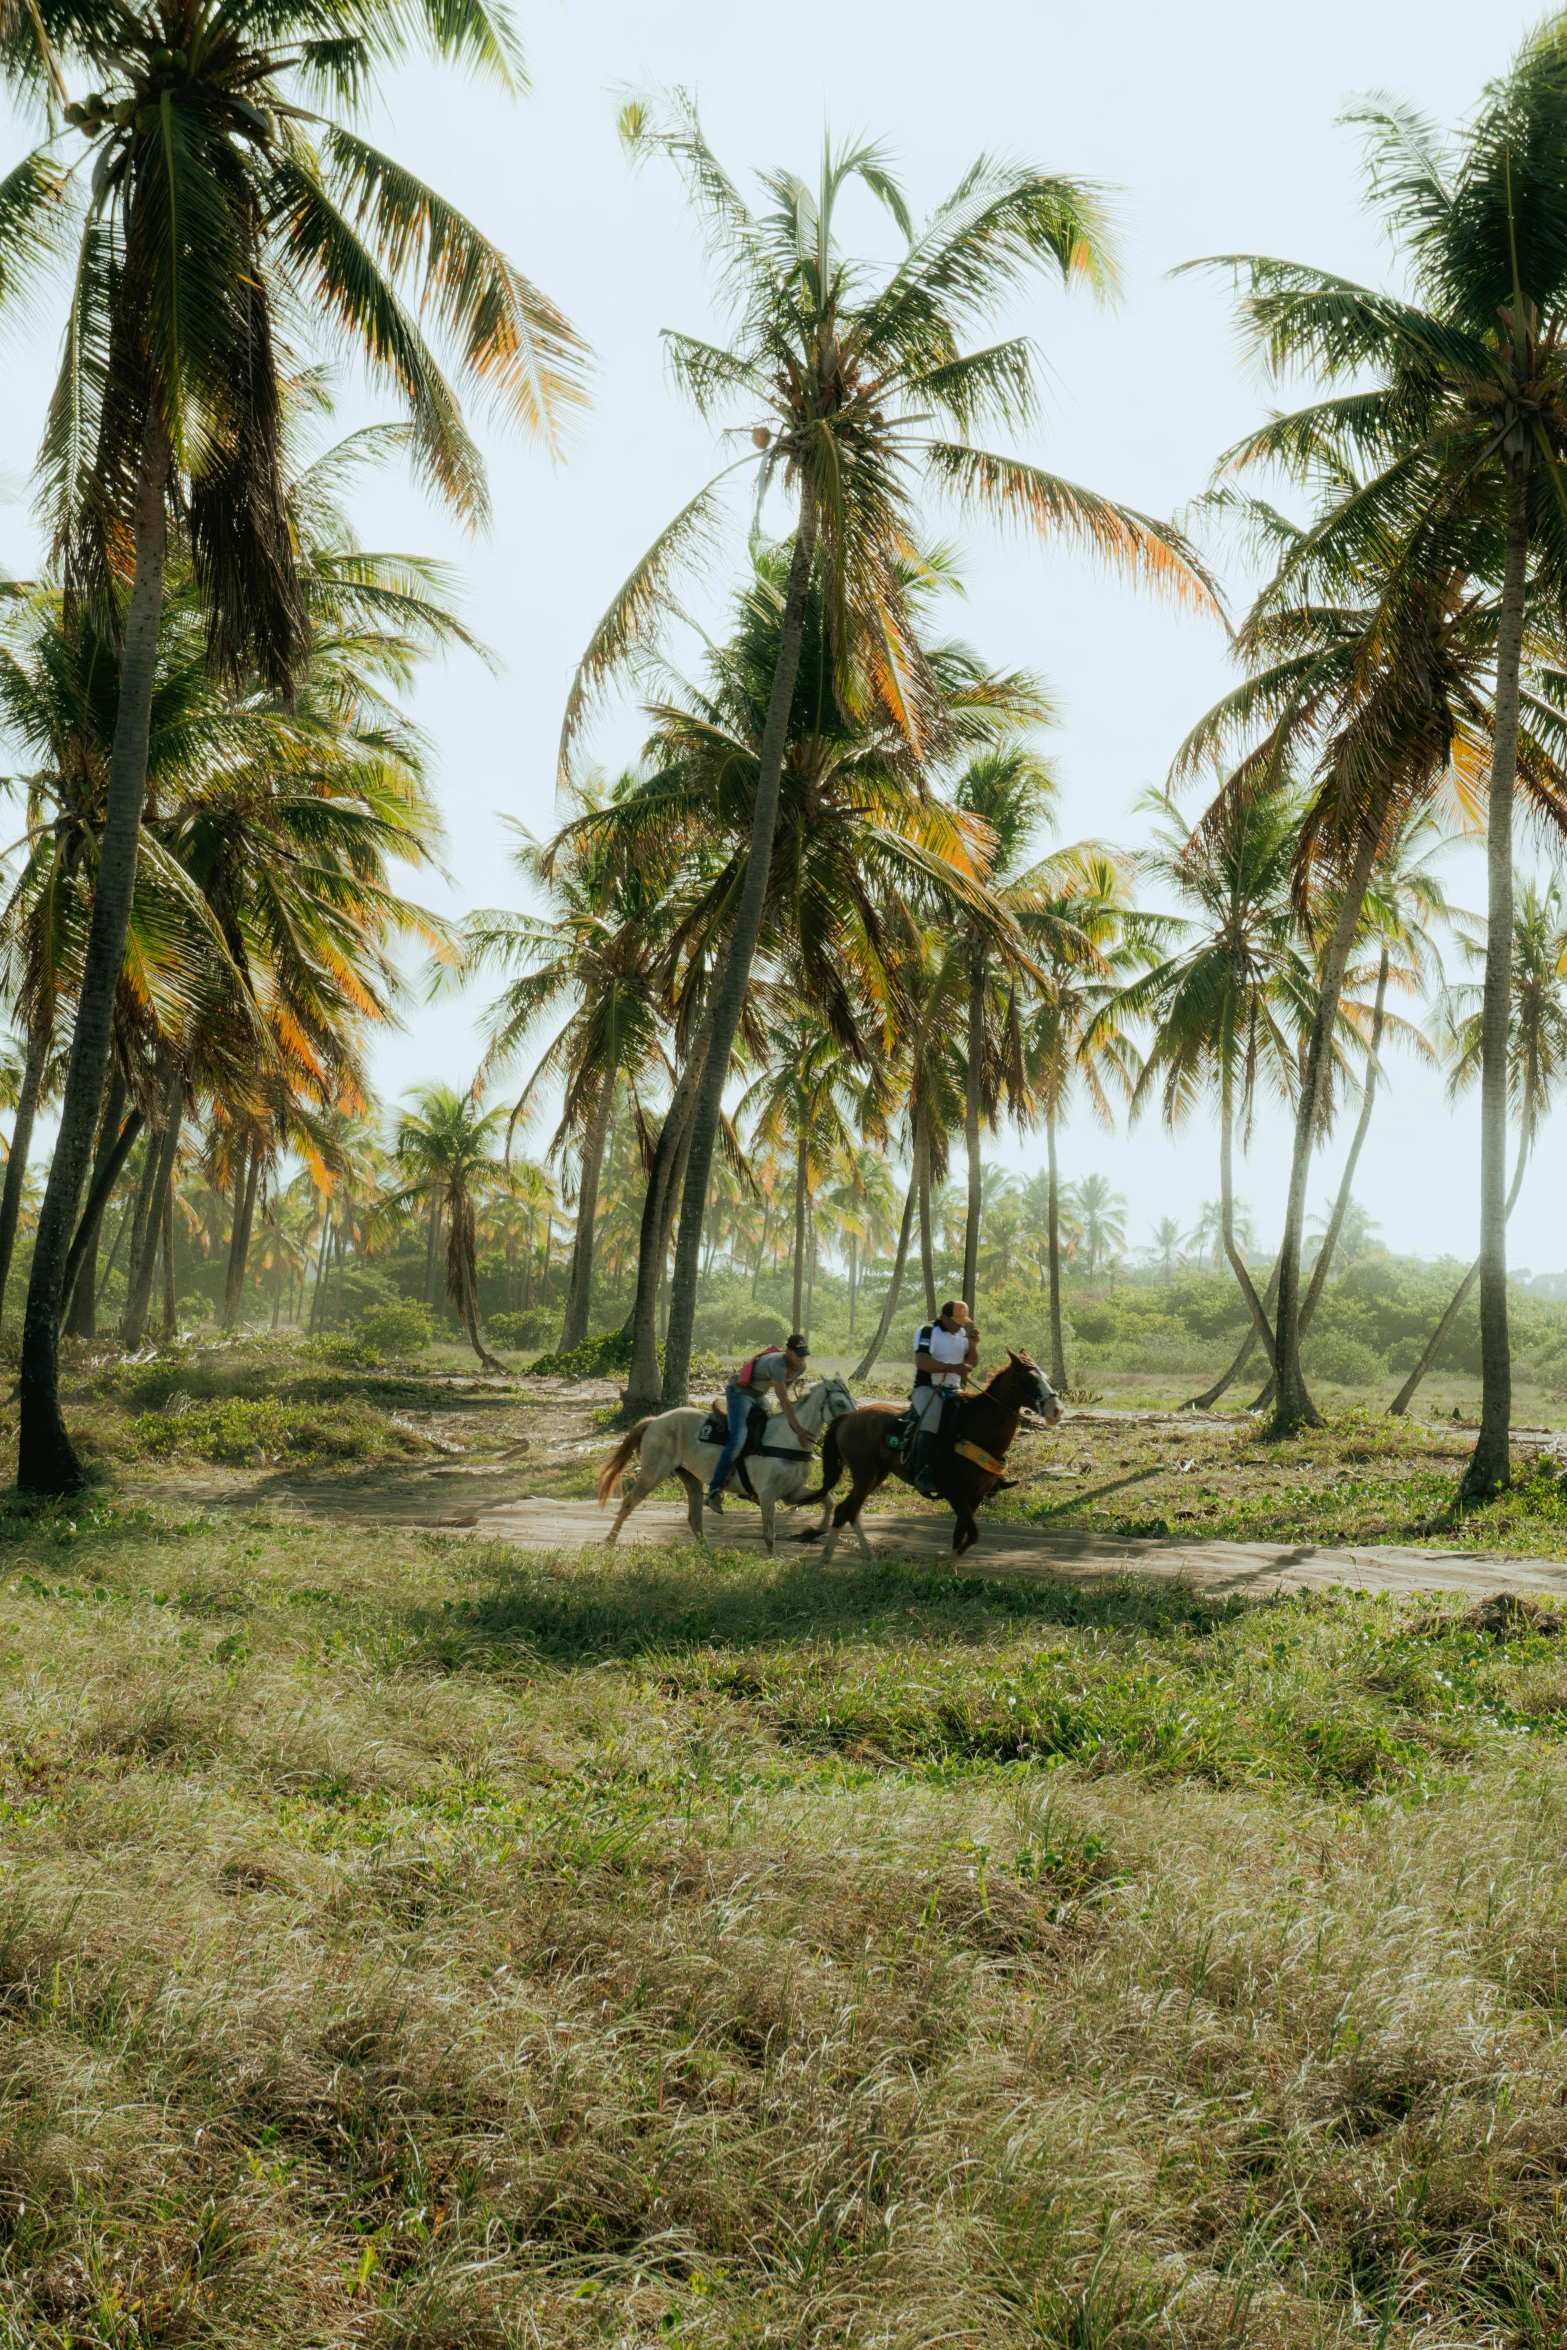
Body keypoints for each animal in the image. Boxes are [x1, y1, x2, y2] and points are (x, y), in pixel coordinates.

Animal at [596, 1372, 859, 1550]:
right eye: (839, 1402)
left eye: (852, 1400)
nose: (853, 1423)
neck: (789, 1438)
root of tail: (655, 1420)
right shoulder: (768, 1495)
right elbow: (769, 1534)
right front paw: (773, 1560)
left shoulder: (791, 1492)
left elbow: (829, 1501)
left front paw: (813, 1531)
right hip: (653, 1471)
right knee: (628, 1503)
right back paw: (609, 1541)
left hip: (691, 1478)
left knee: (694, 1518)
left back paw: (706, 1550)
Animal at [803, 1344, 1061, 1560]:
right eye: (1028, 1378)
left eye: (1046, 1378)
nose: (1056, 1410)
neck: (976, 1429)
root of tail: (847, 1417)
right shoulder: (955, 1493)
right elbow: (972, 1534)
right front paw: (948, 1560)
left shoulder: (975, 1497)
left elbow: (962, 1534)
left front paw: (950, 1564)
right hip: (865, 1474)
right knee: (844, 1511)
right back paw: (826, 1558)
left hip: (876, 1475)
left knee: (850, 1511)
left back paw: (866, 1556)